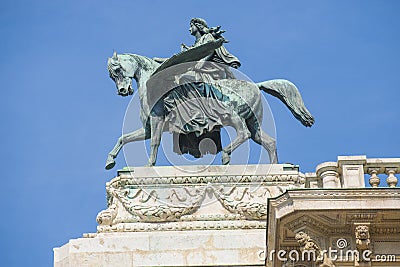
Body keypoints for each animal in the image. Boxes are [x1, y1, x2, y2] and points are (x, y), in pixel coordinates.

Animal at [104, 52, 314, 170]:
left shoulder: (157, 121)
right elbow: (123, 138)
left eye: (117, 70)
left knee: (244, 134)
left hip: (232, 115)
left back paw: (226, 155)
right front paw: (110, 160)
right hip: (254, 122)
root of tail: (256, 85)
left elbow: (154, 142)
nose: (123, 90)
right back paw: (274, 167)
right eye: (112, 75)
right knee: (268, 142)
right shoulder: (147, 128)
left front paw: (148, 166)